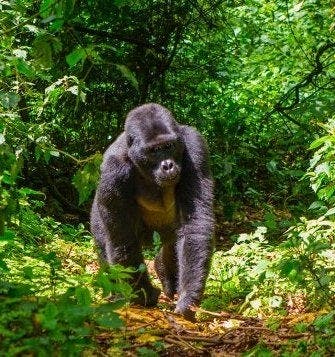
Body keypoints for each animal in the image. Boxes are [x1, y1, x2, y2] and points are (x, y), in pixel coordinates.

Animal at [90, 102, 214, 318]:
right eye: (154, 151)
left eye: (169, 146)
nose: (168, 165)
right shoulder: (113, 170)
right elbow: (123, 240)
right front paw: (144, 294)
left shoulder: (194, 145)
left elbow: (195, 224)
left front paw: (188, 297)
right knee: (105, 242)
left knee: (172, 242)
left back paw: (163, 270)